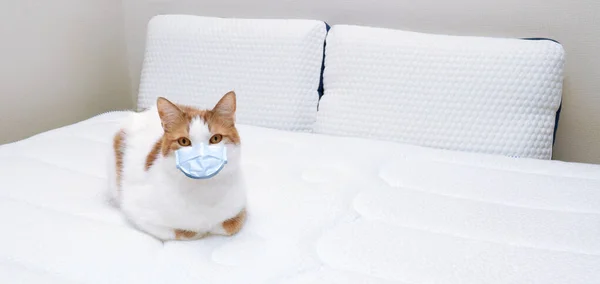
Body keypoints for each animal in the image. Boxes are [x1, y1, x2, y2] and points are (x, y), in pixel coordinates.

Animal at [107, 92, 246, 241]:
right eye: (184, 141)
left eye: (216, 138)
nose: (201, 157)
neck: (204, 191)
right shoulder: (138, 211)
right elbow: (187, 232)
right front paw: (201, 230)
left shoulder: (240, 205)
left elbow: (231, 224)